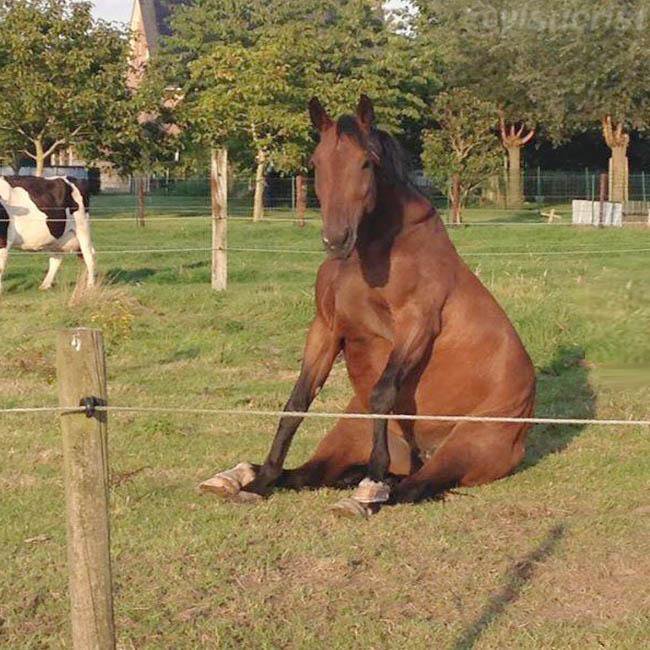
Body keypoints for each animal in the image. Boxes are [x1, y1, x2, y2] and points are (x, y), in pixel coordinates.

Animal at [201, 96, 536, 517]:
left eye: (366, 162)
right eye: (317, 161)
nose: (336, 239)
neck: (375, 249)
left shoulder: (415, 326)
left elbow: (383, 392)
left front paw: (372, 482)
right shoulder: (326, 328)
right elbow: (297, 401)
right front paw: (259, 484)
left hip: (465, 447)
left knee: (412, 487)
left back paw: (369, 491)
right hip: (348, 435)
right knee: (309, 475)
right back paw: (240, 476)